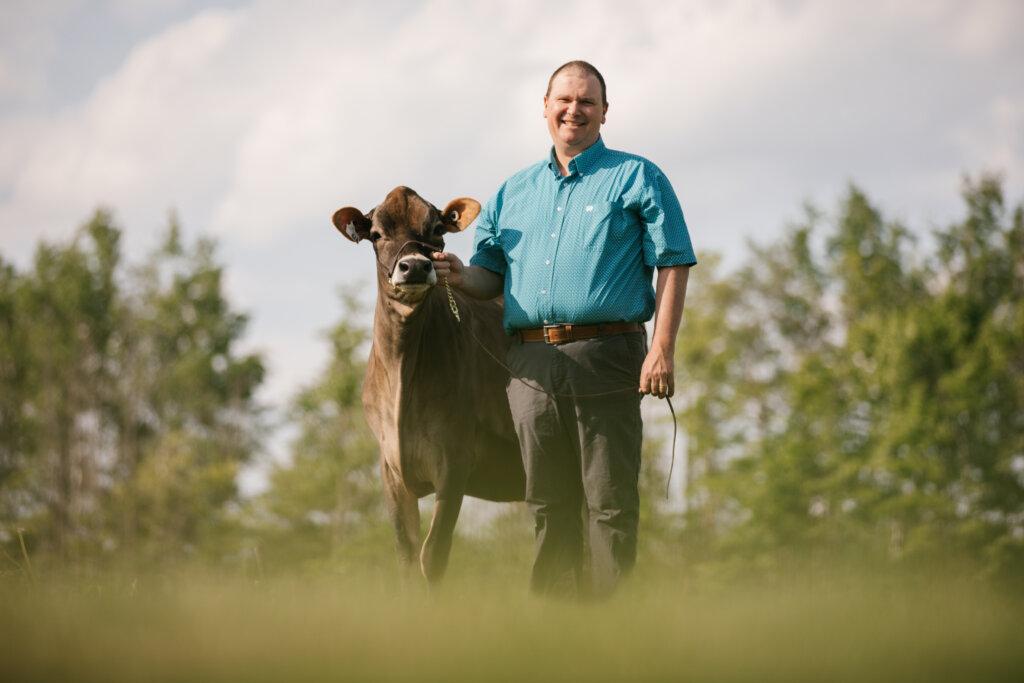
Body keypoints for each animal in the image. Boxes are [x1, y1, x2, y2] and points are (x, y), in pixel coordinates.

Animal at [333, 185, 528, 581]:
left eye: (437, 229)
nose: (415, 266)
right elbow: (407, 553)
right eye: (377, 234)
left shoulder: (455, 459)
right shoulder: (391, 466)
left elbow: (433, 553)